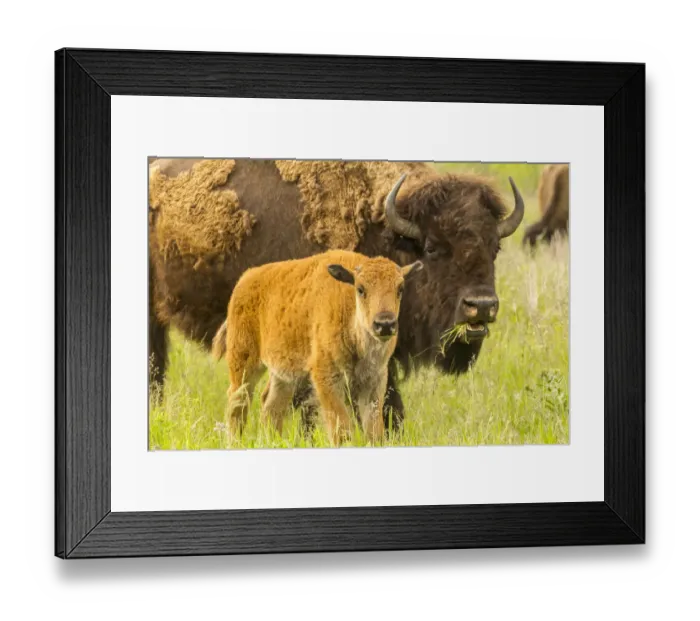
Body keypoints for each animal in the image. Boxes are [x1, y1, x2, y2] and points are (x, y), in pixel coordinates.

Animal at [212, 250, 422, 445]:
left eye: (400, 288)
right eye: (361, 289)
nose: (385, 324)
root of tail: (244, 280)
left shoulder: (373, 382)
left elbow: (374, 432)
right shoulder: (327, 378)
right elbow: (342, 430)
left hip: (284, 375)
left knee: (271, 406)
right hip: (244, 364)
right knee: (238, 404)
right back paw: (235, 442)